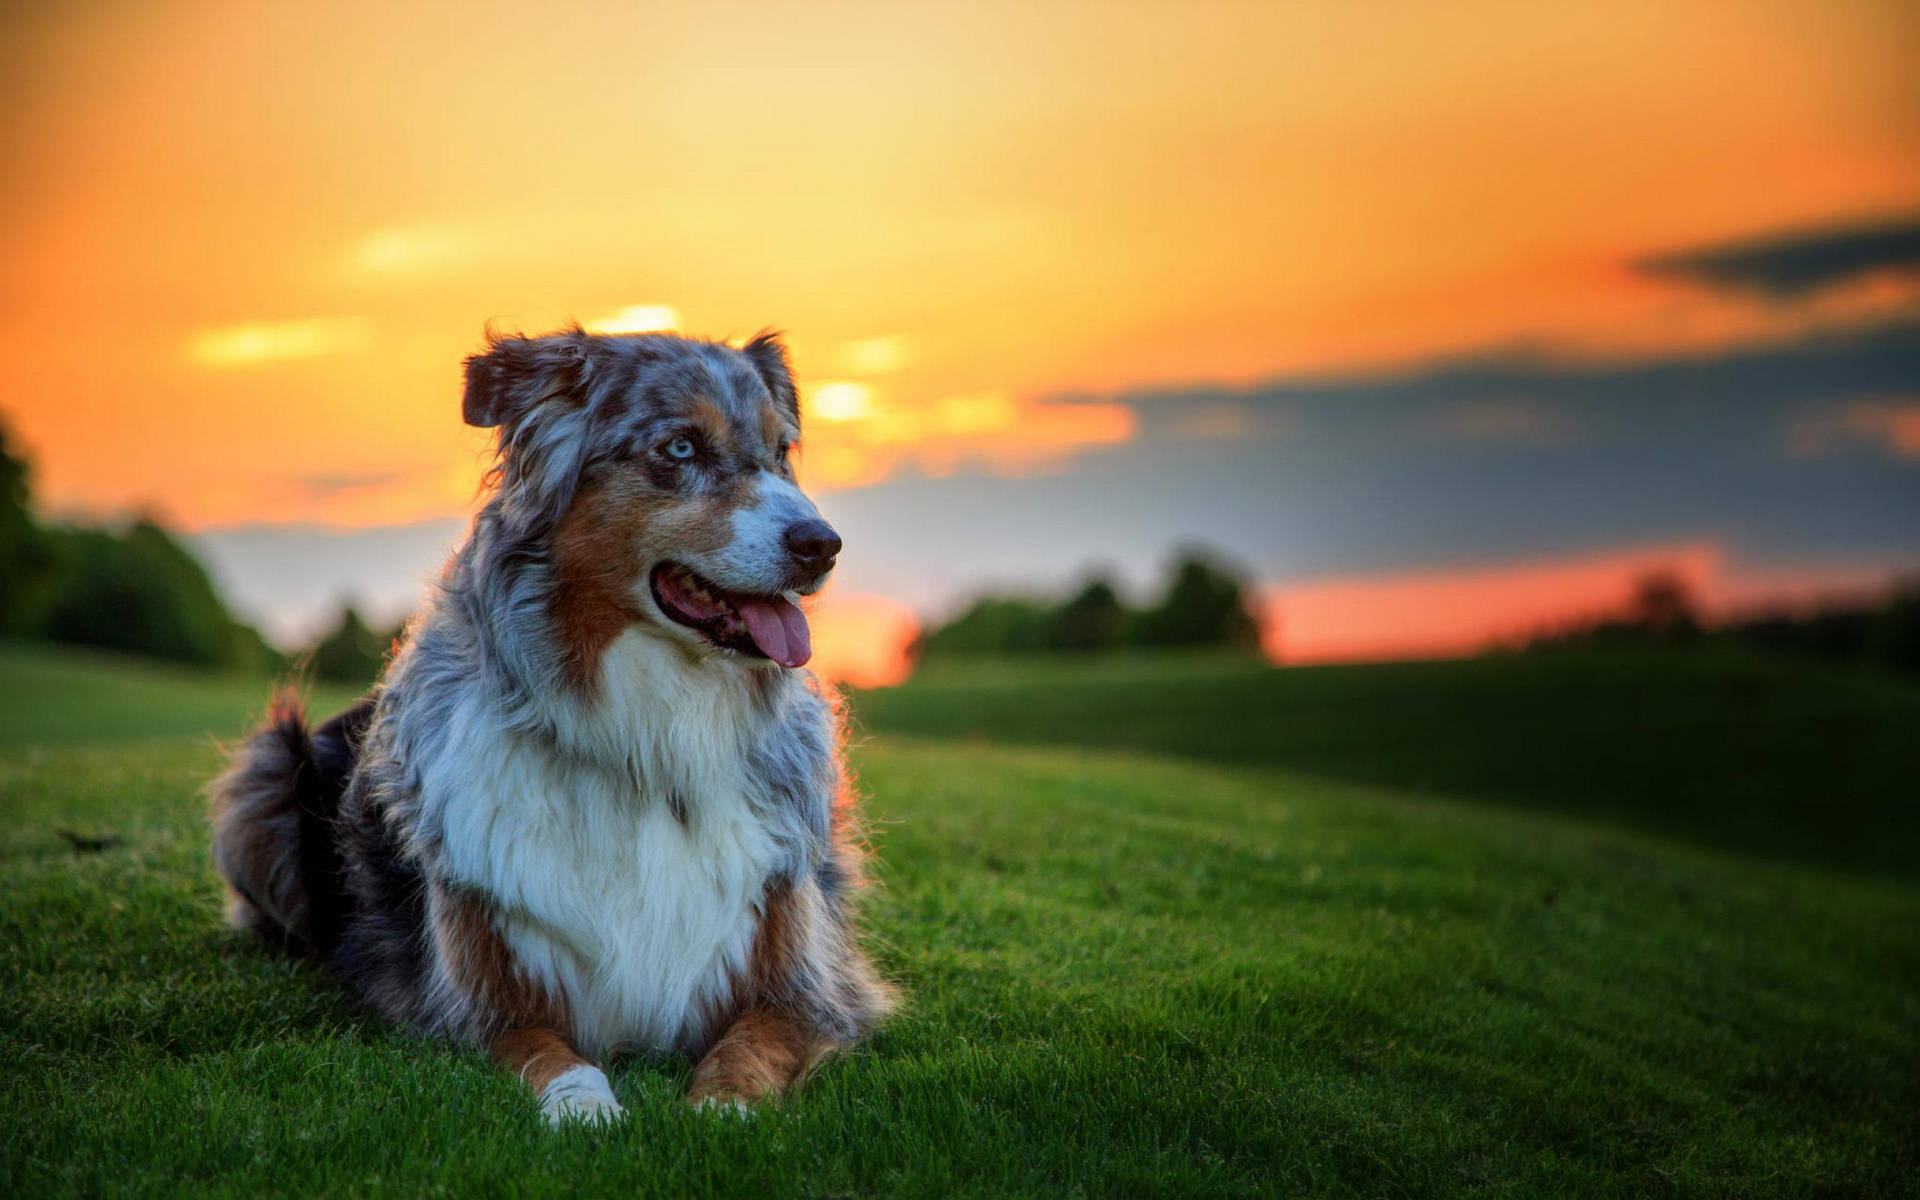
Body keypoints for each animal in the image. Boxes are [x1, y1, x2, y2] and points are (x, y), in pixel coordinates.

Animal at [206, 328, 894, 1121]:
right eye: (680, 447)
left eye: (782, 450)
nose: (823, 544)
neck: (648, 745)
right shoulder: (475, 1001)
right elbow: (552, 1059)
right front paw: (587, 1110)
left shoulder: (808, 987)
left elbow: (749, 1050)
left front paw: (718, 1111)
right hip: (264, 778)